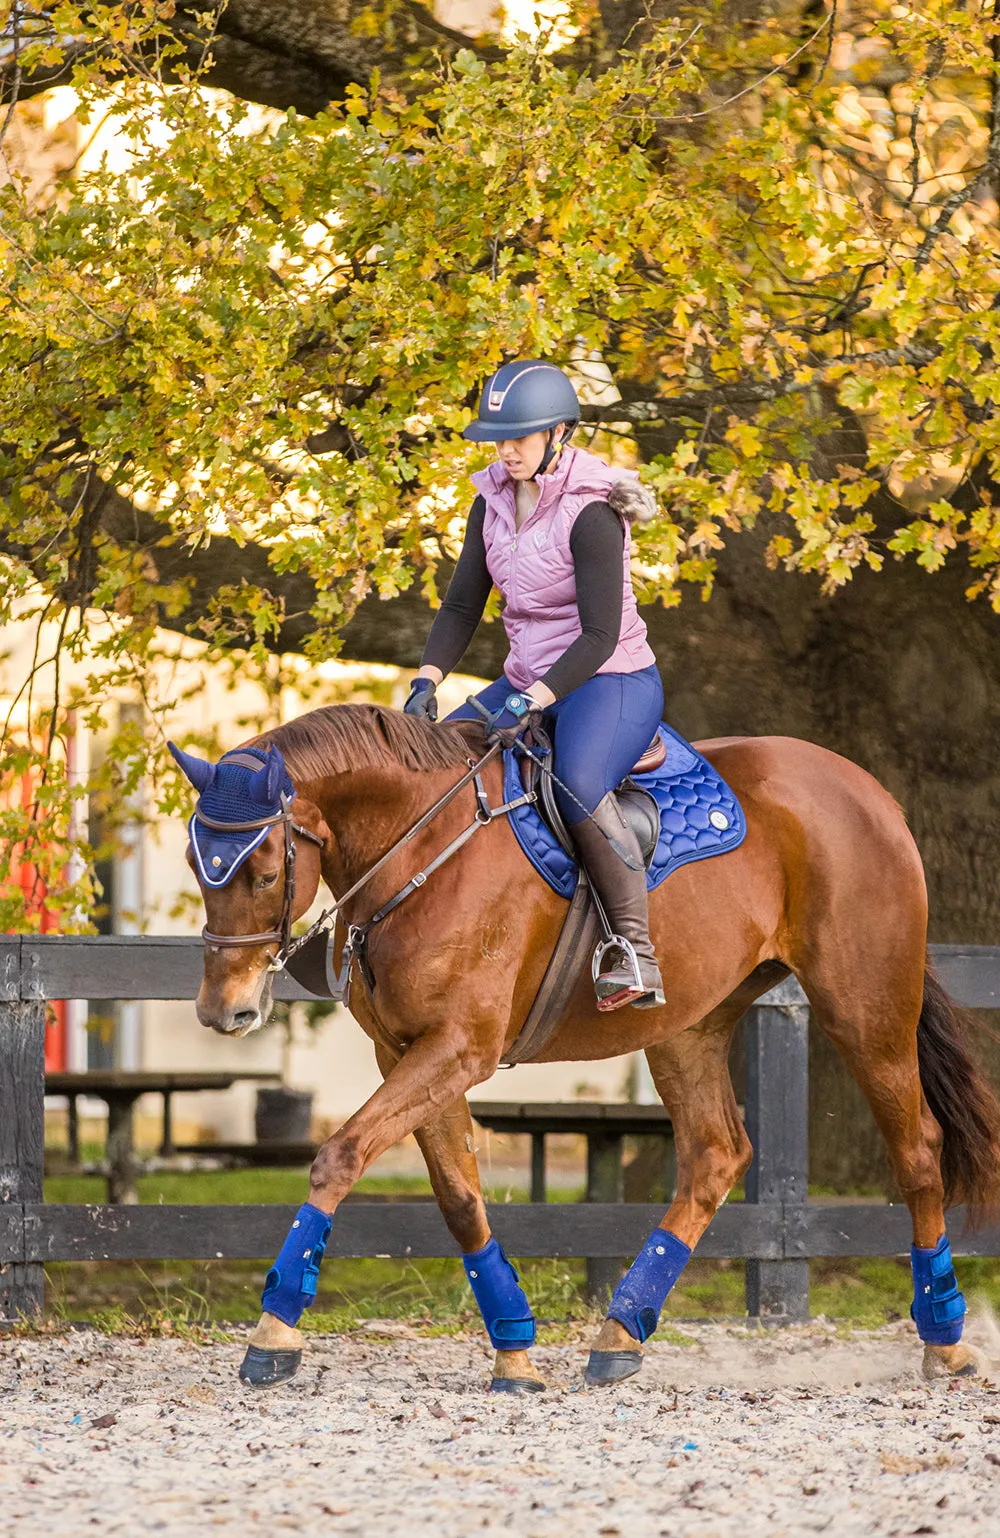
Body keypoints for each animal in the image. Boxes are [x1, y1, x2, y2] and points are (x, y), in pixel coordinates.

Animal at [175, 707, 996, 1396]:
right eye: (194, 866)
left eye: (266, 871)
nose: (224, 1011)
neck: (424, 846)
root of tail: (869, 791)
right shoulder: (406, 1053)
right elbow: (459, 1197)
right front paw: (513, 1347)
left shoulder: (457, 1048)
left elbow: (340, 1155)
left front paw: (274, 1329)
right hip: (689, 1027)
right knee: (715, 1156)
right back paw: (620, 1333)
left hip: (863, 1005)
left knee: (917, 1149)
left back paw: (945, 1339)